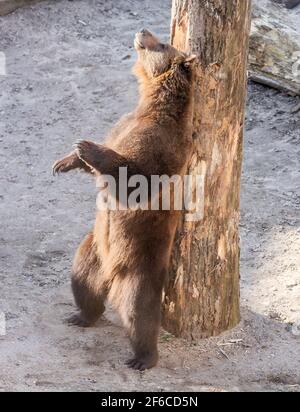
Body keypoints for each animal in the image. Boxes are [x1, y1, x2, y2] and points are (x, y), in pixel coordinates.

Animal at [52, 29, 196, 370]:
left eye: (162, 43)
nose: (143, 31)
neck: (153, 104)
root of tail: (112, 274)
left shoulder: (161, 145)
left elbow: (137, 180)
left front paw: (85, 146)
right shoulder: (123, 124)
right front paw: (66, 160)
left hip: (141, 264)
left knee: (139, 311)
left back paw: (143, 357)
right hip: (93, 250)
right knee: (82, 281)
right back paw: (81, 315)